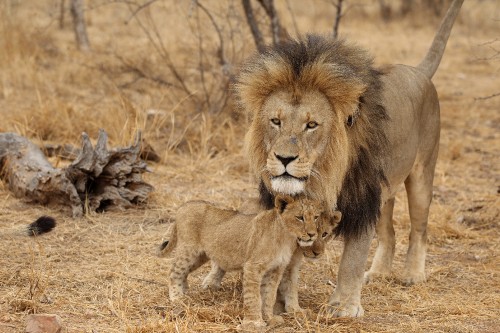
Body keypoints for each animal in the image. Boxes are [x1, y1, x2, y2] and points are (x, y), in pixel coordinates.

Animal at [160, 196, 324, 328]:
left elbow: (269, 296)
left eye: (316, 217)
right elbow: (254, 297)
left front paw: (269, 318)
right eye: (300, 217)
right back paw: (177, 298)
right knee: (173, 272)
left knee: (183, 273)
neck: (286, 237)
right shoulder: (253, 267)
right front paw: (255, 323)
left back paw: (184, 292)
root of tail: (184, 205)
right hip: (189, 250)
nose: (312, 234)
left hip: (200, 256)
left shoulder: (275, 270)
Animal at [234, 0, 464, 316]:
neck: (323, 178)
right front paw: (279, 303)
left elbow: (352, 259)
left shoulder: (362, 201)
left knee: (419, 228)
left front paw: (343, 307)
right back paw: (377, 273)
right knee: (389, 233)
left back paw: (413, 274)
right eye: (276, 121)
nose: (283, 158)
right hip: (384, 193)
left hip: (421, 175)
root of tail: (417, 71)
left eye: (311, 125)